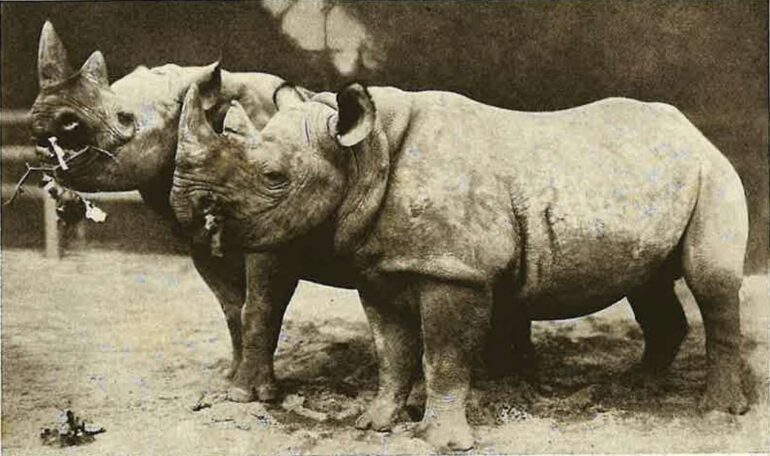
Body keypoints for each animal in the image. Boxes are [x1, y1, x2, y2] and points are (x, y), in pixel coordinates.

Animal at [170, 81, 750, 450]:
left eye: (274, 177)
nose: (201, 212)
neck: (365, 153)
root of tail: (694, 131)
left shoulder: (455, 269)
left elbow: (444, 356)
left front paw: (440, 441)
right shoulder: (380, 270)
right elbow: (392, 350)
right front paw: (372, 424)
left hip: (714, 172)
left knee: (712, 284)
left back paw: (716, 411)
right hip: (650, 175)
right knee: (647, 283)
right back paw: (639, 385)